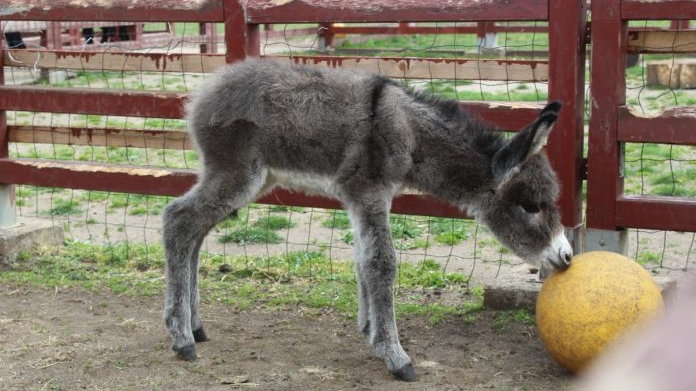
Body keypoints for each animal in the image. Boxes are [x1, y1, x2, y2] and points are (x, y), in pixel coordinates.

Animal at [163, 59, 572, 382]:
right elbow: (381, 263)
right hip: (237, 174)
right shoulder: (369, 192)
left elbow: (363, 260)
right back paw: (181, 338)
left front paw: (369, 328)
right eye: (531, 207)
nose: (566, 257)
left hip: (255, 179)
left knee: (194, 231)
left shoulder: (362, 199)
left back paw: (194, 326)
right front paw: (395, 354)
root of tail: (206, 90)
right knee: (178, 220)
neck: (409, 132)